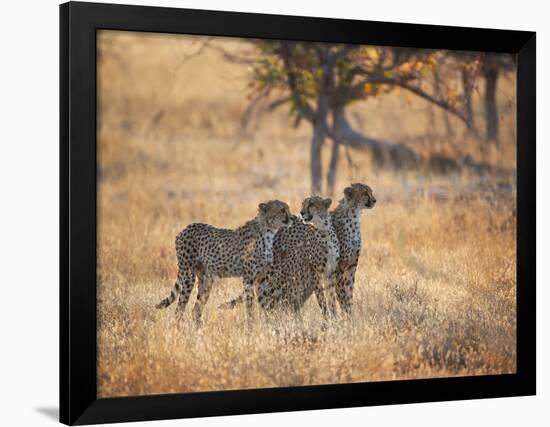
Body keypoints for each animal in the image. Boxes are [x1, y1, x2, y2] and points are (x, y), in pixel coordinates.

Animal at [156, 200, 294, 324]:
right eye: (282, 210)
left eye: (288, 208)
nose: (292, 218)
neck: (268, 232)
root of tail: (184, 229)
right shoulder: (248, 279)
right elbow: (249, 306)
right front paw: (251, 327)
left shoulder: (261, 279)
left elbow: (264, 304)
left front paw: (267, 324)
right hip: (188, 275)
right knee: (179, 309)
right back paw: (180, 329)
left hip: (206, 280)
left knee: (196, 309)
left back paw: (200, 331)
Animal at [330, 182, 378, 320]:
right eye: (365, 193)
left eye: (371, 191)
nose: (374, 200)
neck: (354, 216)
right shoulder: (339, 267)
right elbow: (342, 294)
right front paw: (346, 316)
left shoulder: (352, 265)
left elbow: (349, 291)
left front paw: (349, 315)